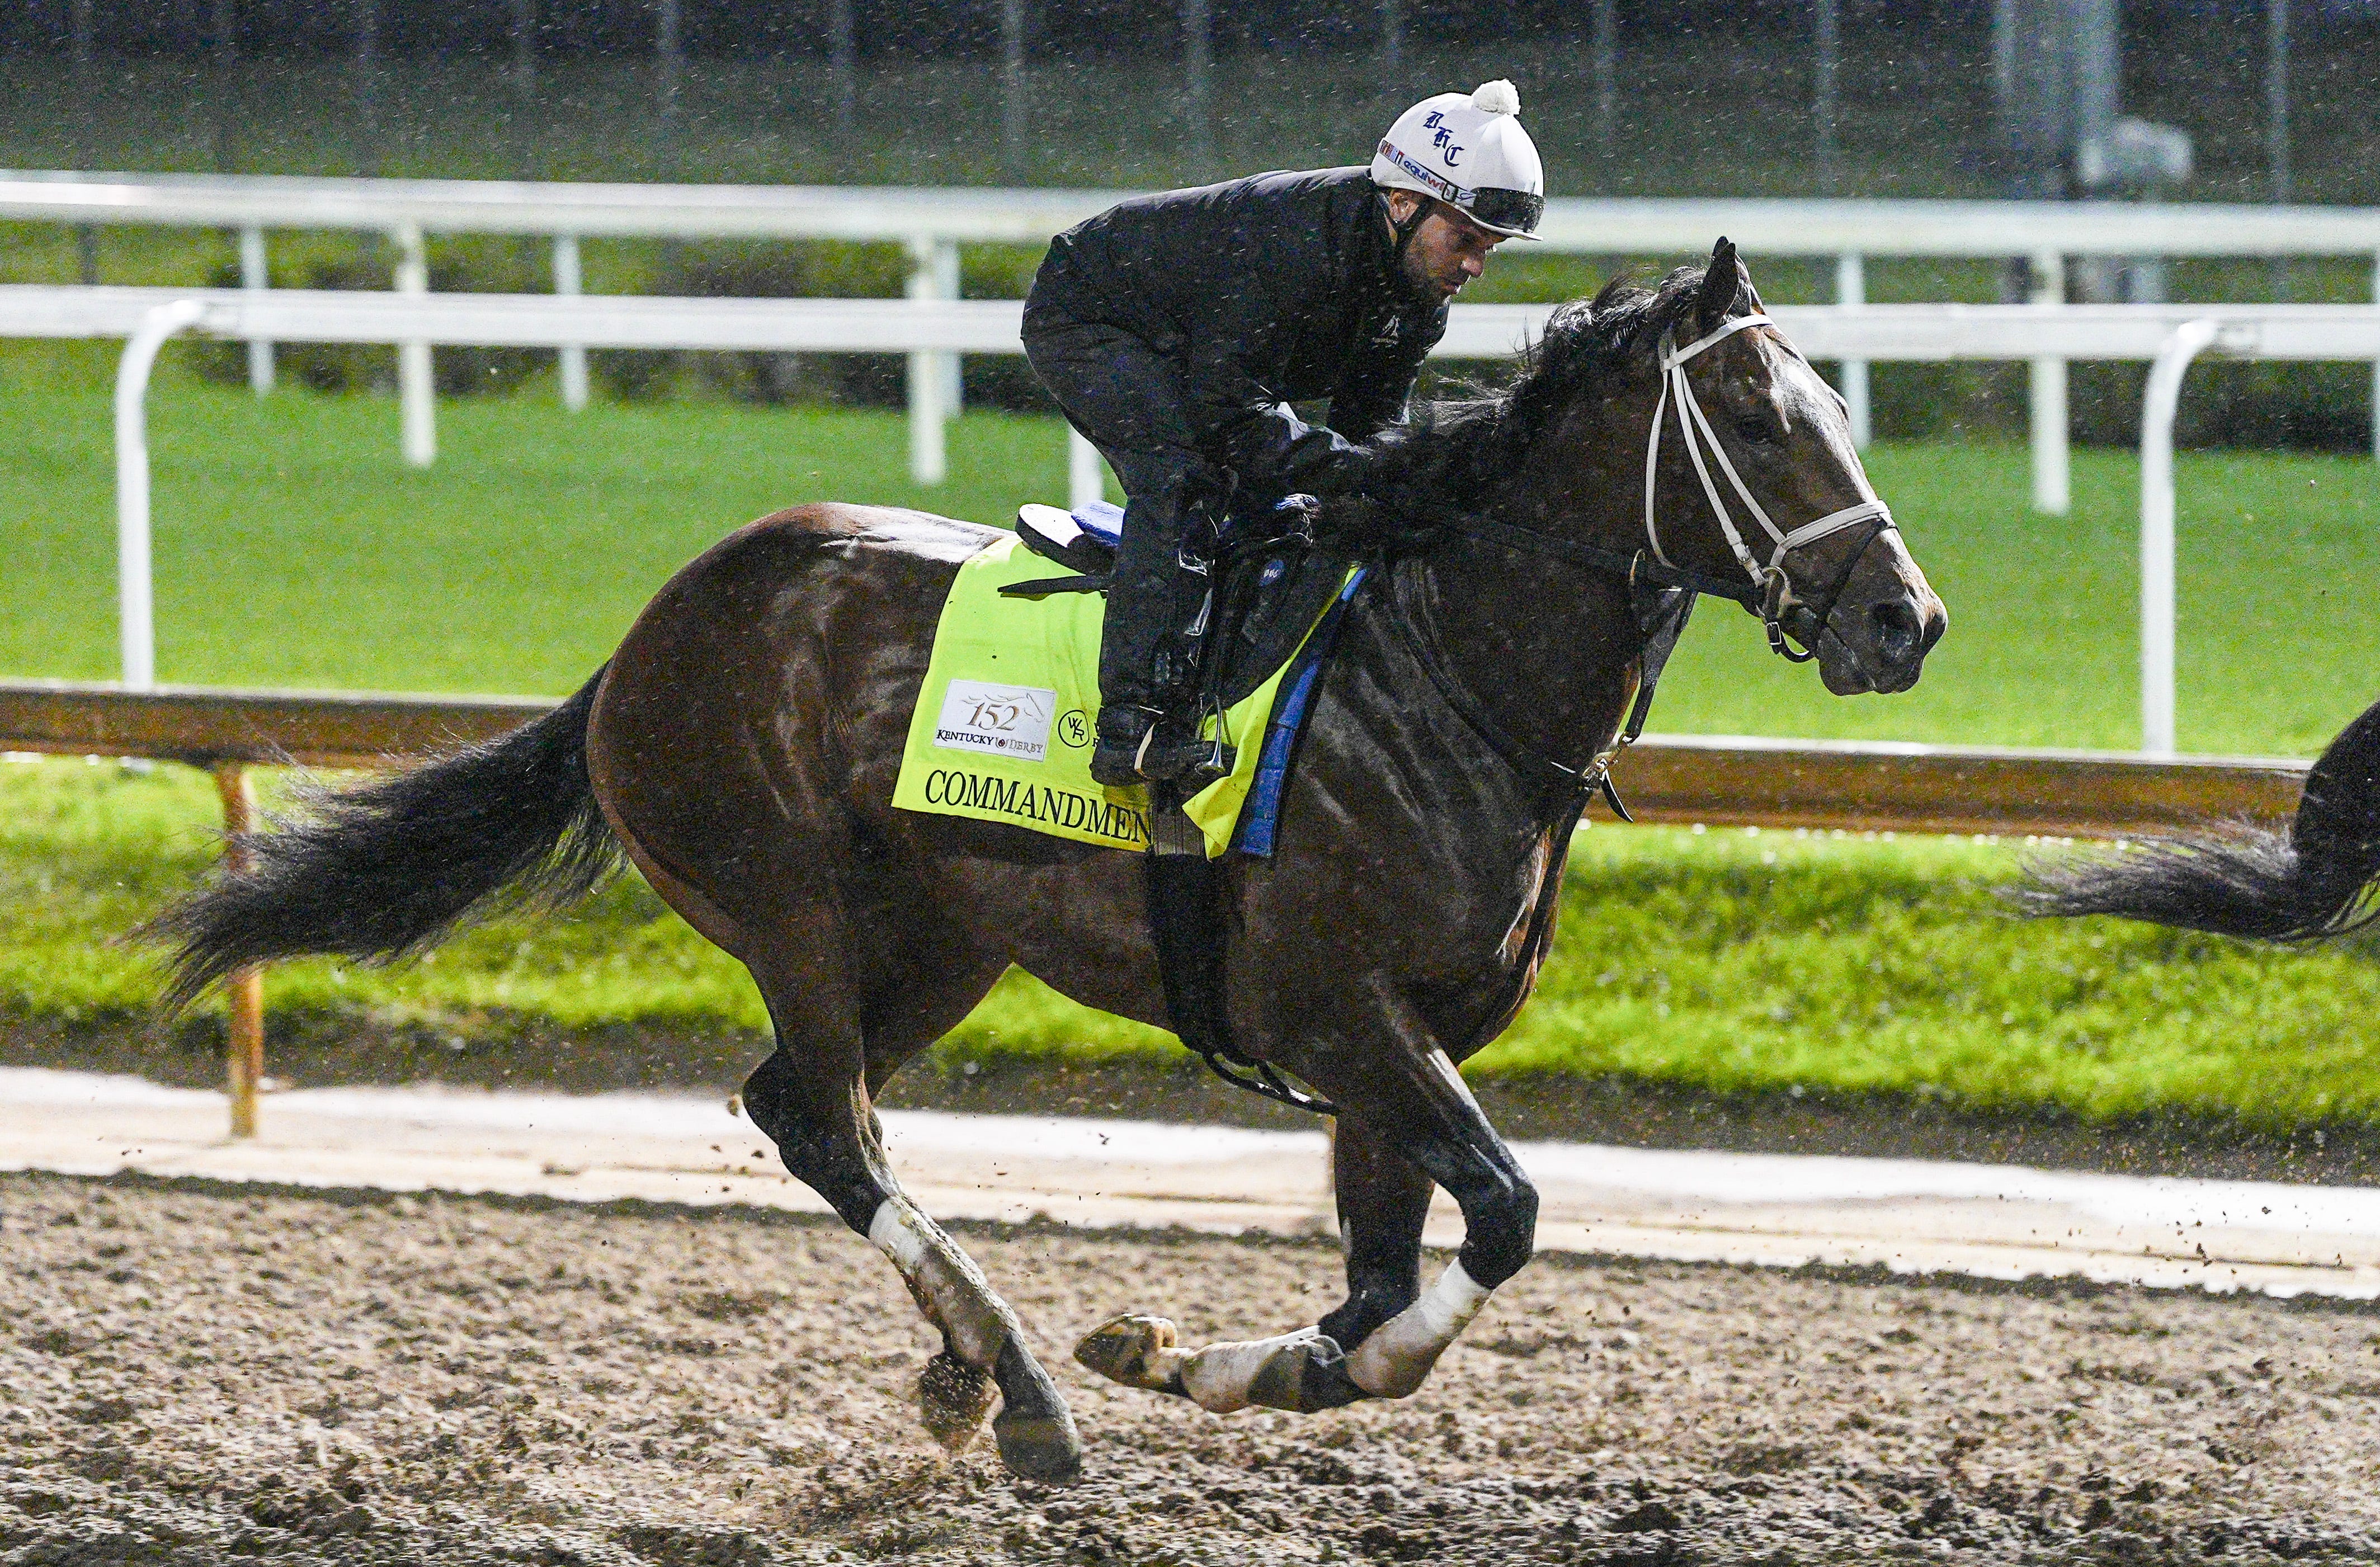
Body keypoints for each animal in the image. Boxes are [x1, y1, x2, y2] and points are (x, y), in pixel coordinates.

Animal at [152, 241, 1946, 1486]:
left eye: (1836, 415)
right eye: (1755, 421)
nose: (1901, 621)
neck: (1444, 679)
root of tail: (647, 634)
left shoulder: (1400, 1038)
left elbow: (1370, 1287)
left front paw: (1197, 1360)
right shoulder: (1337, 1013)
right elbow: (1494, 1219)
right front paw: (1197, 1363)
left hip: (941, 942)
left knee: (800, 1110)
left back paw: (972, 1367)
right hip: (789, 903)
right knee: (828, 1119)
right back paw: (1012, 1390)